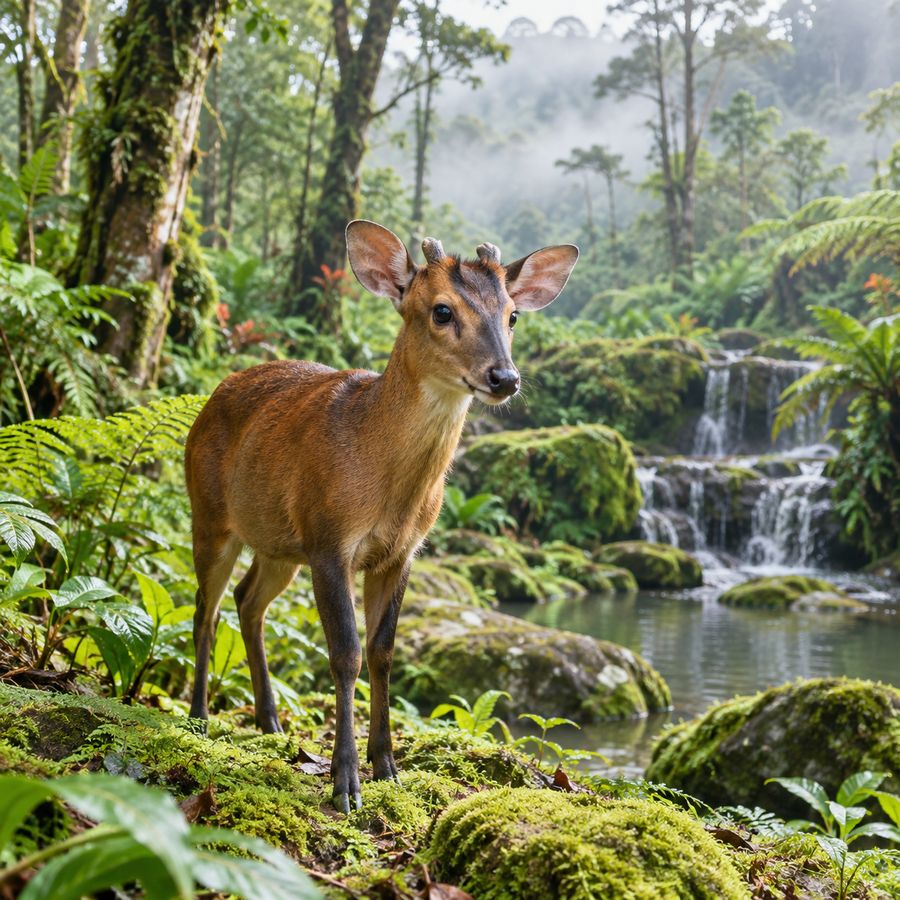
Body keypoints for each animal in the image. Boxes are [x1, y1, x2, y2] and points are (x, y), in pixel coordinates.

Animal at [185, 220, 578, 812]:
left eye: (512, 315)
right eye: (441, 311)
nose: (504, 378)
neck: (387, 487)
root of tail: (209, 398)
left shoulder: (400, 552)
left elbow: (383, 651)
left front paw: (388, 767)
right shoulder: (329, 539)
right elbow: (345, 653)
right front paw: (345, 782)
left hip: (279, 543)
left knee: (247, 601)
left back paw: (270, 722)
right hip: (208, 514)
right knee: (204, 610)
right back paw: (199, 719)